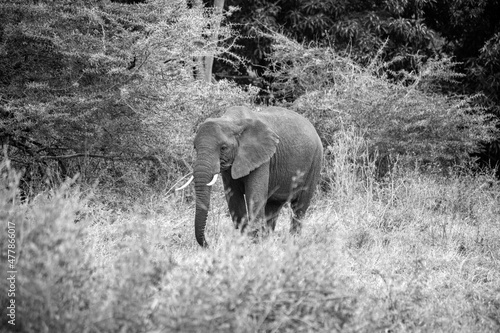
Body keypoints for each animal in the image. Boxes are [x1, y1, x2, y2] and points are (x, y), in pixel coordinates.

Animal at [180, 105, 324, 245]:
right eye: (195, 147)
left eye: (223, 148)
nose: (209, 244)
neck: (231, 121)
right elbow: (234, 199)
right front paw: (246, 242)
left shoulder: (262, 159)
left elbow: (254, 198)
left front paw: (252, 243)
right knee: (273, 208)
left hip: (315, 161)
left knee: (299, 207)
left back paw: (293, 242)